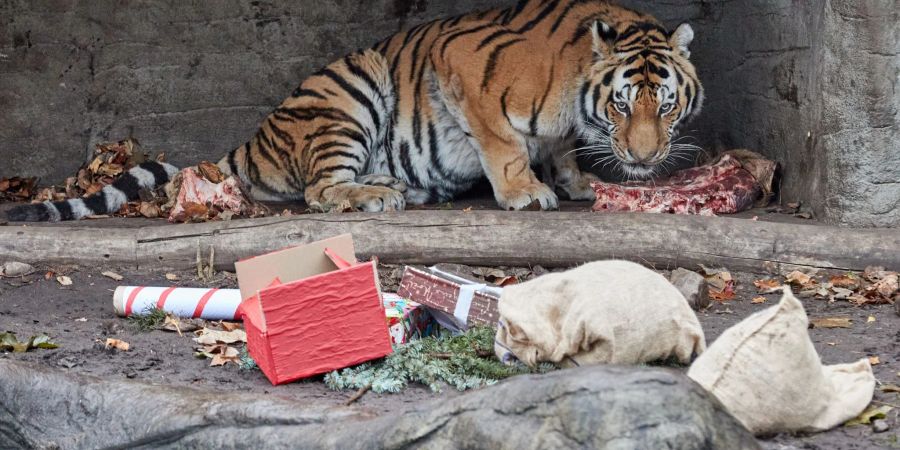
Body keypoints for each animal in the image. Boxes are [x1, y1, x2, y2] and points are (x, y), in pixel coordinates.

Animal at [7, 0, 704, 221]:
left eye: (666, 105)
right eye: (621, 105)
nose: (646, 157)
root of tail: (254, 139)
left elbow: (557, 147)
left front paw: (576, 180)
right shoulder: (462, 63)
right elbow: (504, 144)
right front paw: (525, 192)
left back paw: (399, 188)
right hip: (351, 90)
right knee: (319, 191)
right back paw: (375, 196)